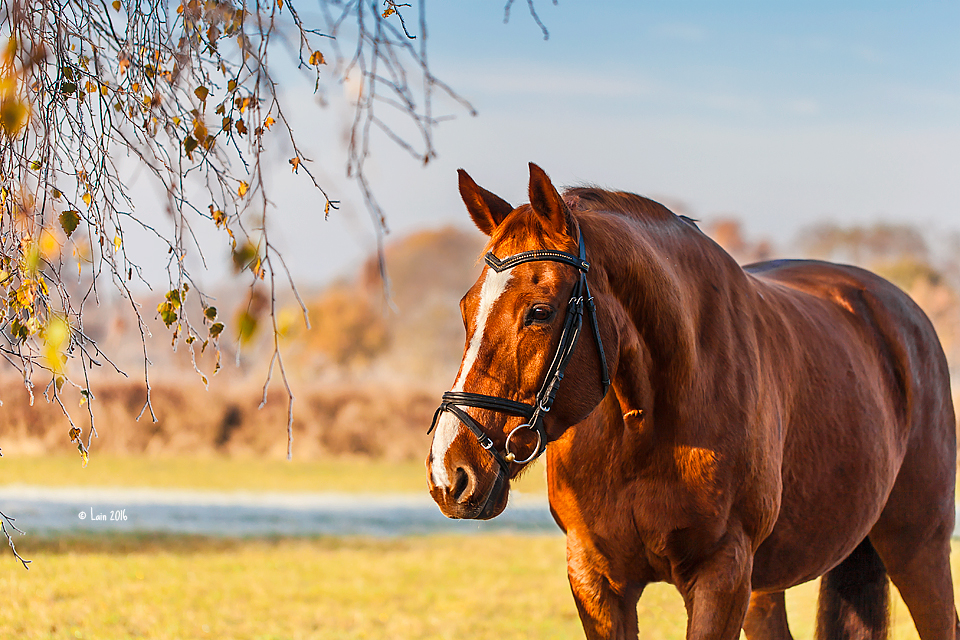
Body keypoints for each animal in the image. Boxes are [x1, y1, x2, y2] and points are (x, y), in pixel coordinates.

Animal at [428, 164, 960, 640]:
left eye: (540, 312)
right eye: (466, 308)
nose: (450, 472)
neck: (644, 426)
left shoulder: (720, 575)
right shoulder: (596, 579)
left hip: (919, 549)